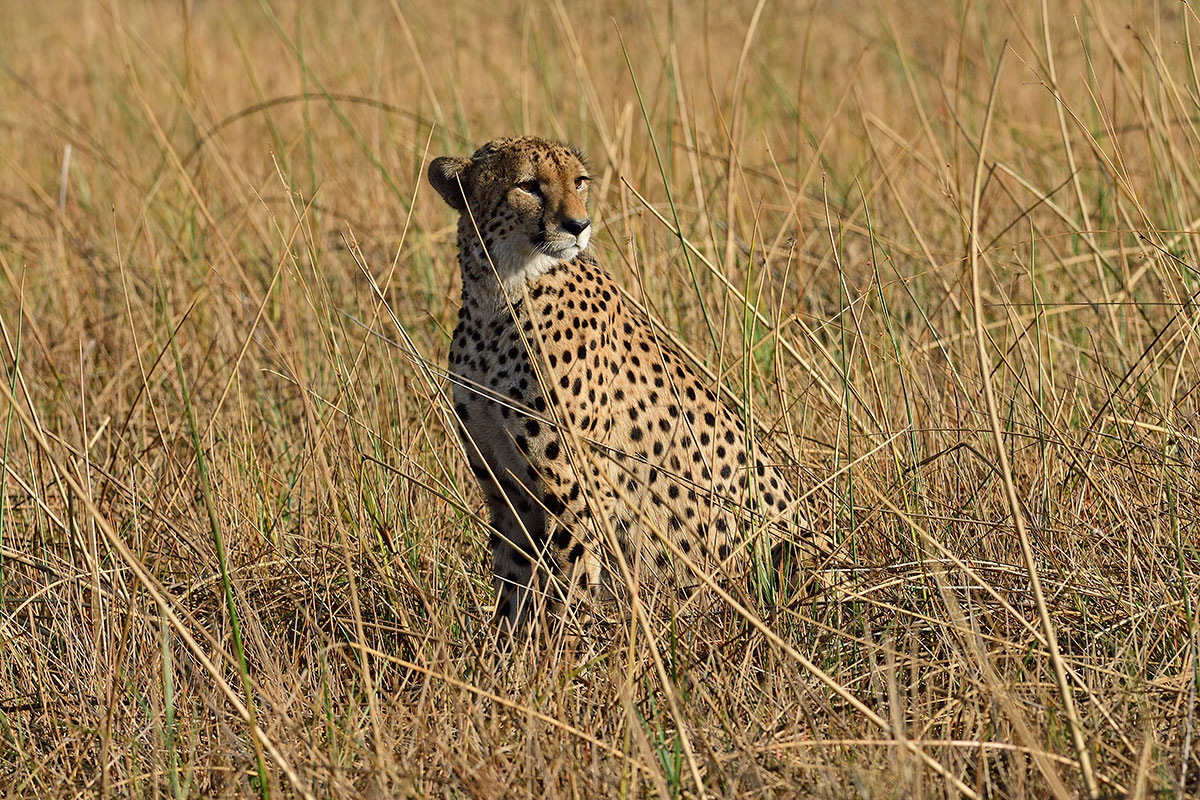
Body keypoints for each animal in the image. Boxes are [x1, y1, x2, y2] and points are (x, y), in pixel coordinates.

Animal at [429, 136, 833, 633]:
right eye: (528, 185)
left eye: (579, 181)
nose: (579, 225)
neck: (499, 292)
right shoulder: (504, 484)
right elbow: (513, 584)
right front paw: (507, 649)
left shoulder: (574, 488)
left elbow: (570, 580)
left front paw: (567, 649)